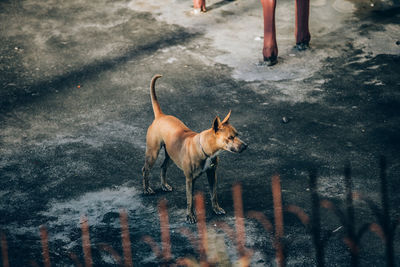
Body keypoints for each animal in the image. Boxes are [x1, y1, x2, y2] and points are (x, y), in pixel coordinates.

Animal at [141, 75, 247, 224]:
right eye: (230, 137)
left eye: (237, 134)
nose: (245, 146)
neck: (206, 150)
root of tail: (161, 116)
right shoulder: (190, 179)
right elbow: (190, 200)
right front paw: (190, 216)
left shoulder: (212, 175)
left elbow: (213, 193)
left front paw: (216, 208)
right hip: (153, 153)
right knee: (145, 169)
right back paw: (146, 189)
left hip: (171, 156)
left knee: (163, 167)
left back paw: (164, 185)